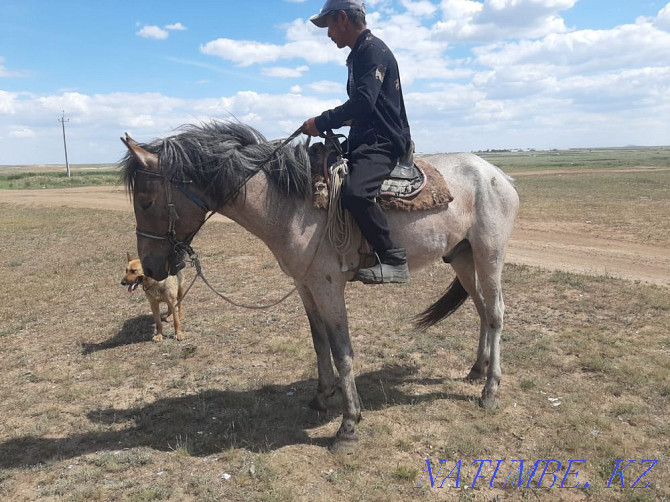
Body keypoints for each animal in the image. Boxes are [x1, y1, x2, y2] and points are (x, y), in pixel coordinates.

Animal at [119, 120, 520, 452]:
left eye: (147, 202)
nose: (151, 267)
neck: (291, 204)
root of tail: (498, 175)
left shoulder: (328, 287)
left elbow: (343, 351)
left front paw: (349, 425)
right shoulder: (305, 285)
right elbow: (319, 341)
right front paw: (322, 396)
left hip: (489, 254)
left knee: (496, 313)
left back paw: (490, 390)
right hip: (463, 257)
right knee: (482, 310)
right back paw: (477, 369)